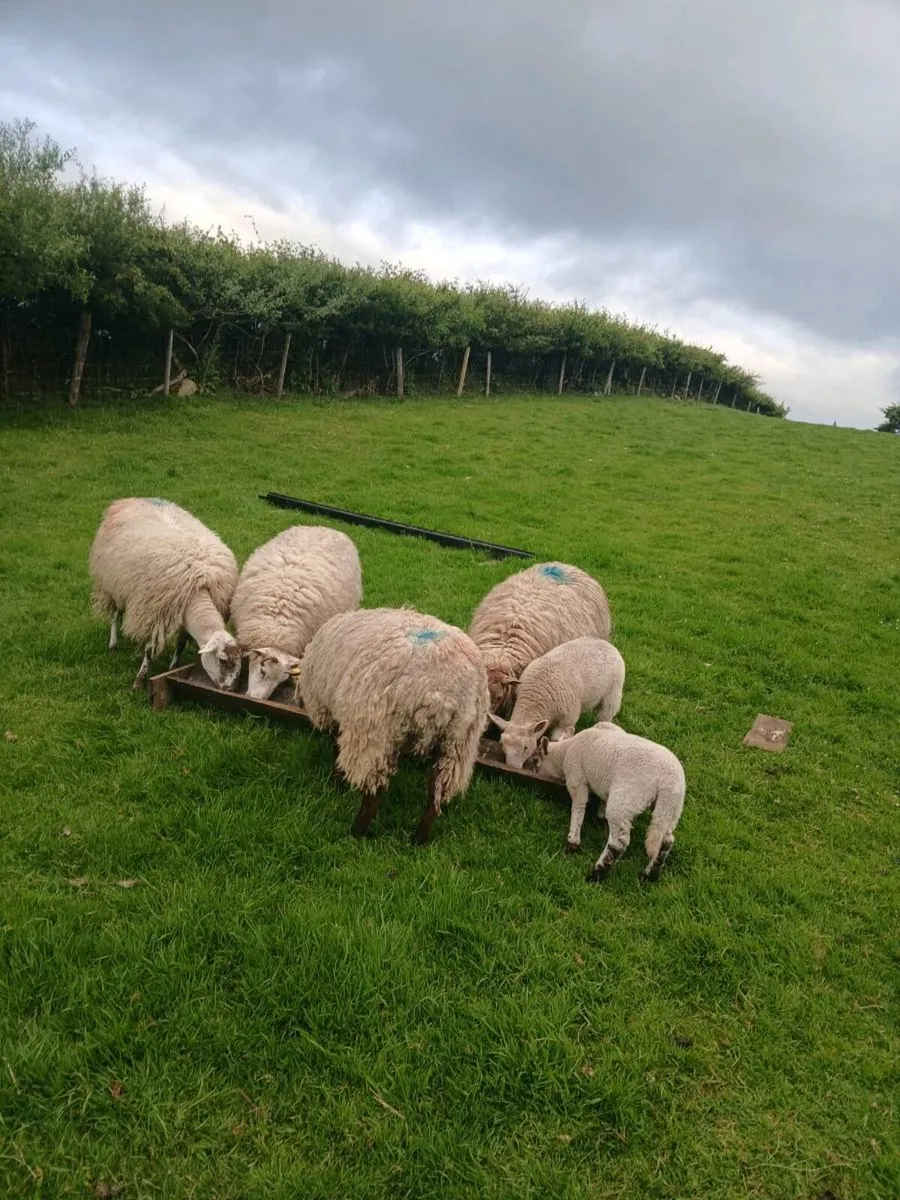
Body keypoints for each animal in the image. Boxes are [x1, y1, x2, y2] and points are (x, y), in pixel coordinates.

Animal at [89, 497, 241, 691]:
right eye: (222, 661)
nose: (230, 689)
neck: (197, 591)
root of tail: (131, 499)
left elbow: (181, 644)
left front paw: (173, 668)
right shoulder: (154, 614)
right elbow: (149, 650)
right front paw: (139, 680)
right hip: (112, 585)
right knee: (115, 615)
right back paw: (113, 643)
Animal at [296, 607, 490, 844]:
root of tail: (442, 693)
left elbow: (337, 751)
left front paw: (336, 784)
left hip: (377, 734)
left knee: (374, 794)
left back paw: (357, 834)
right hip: (457, 745)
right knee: (435, 797)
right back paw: (418, 840)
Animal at [487, 637, 625, 768]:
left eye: (526, 747)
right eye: (502, 744)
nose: (513, 767)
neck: (535, 696)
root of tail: (606, 644)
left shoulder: (566, 720)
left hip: (613, 693)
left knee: (605, 715)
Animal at [534, 722, 685, 883]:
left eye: (536, 760)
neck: (564, 752)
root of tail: (668, 780)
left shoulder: (576, 778)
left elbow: (578, 808)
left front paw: (573, 842)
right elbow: (603, 799)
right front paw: (600, 816)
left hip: (626, 799)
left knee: (619, 842)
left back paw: (596, 874)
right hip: (671, 808)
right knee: (666, 840)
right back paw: (649, 875)